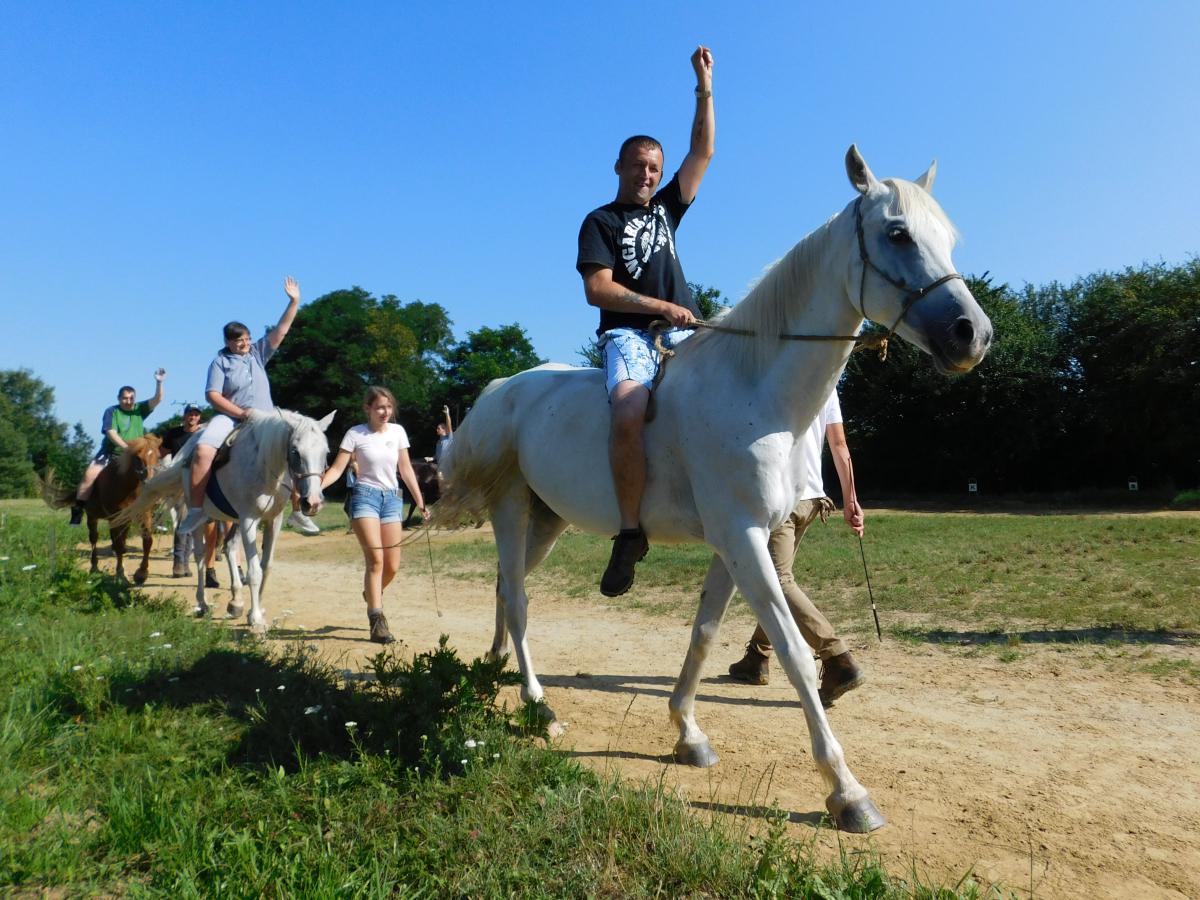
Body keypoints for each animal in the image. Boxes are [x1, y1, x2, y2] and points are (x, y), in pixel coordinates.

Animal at [41, 435, 163, 584]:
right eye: (138, 458)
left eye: (158, 457)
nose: (151, 484)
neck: (127, 486)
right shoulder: (115, 517)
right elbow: (118, 544)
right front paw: (120, 575)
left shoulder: (142, 514)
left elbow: (147, 541)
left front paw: (141, 574)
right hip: (92, 517)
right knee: (94, 538)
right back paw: (94, 567)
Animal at [116, 408, 334, 634]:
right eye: (295, 451)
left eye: (326, 453)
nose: (312, 502)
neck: (264, 466)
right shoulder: (248, 519)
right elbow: (254, 571)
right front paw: (257, 621)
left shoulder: (273, 520)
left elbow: (266, 566)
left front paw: (255, 611)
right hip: (202, 517)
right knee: (200, 556)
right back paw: (202, 604)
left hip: (234, 520)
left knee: (228, 547)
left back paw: (235, 602)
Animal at [432, 147, 993, 833]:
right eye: (897, 234)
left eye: (949, 238)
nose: (973, 333)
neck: (755, 392)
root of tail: (505, 389)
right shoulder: (744, 538)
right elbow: (792, 650)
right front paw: (846, 791)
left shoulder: (737, 544)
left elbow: (702, 635)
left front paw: (687, 733)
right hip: (512, 511)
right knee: (516, 600)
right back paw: (539, 708)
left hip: (547, 521)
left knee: (504, 590)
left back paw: (493, 673)